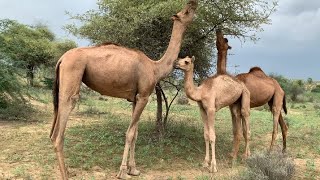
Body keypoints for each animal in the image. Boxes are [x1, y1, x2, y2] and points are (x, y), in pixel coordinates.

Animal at [50, 0, 198, 179]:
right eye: (186, 11)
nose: (194, 5)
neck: (155, 68)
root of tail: (62, 59)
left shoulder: (135, 98)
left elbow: (135, 133)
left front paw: (133, 169)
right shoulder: (143, 96)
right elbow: (130, 133)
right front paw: (122, 171)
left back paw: (66, 170)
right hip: (72, 74)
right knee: (60, 128)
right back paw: (65, 173)